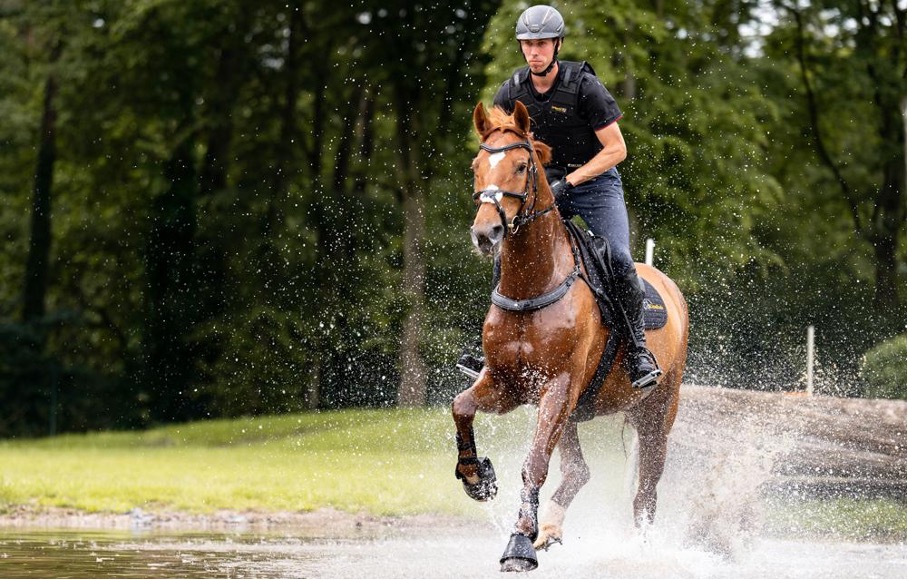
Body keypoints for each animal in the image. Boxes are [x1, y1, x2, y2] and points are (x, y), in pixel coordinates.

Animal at [452, 101, 689, 573]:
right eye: (475, 167)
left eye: (522, 166)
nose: (486, 233)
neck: (533, 283)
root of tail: (669, 287)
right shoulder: (508, 384)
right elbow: (461, 406)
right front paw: (477, 478)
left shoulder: (558, 387)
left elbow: (535, 464)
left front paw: (518, 544)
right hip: (577, 412)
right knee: (580, 470)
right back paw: (551, 528)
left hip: (656, 412)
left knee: (646, 490)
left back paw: (638, 551)